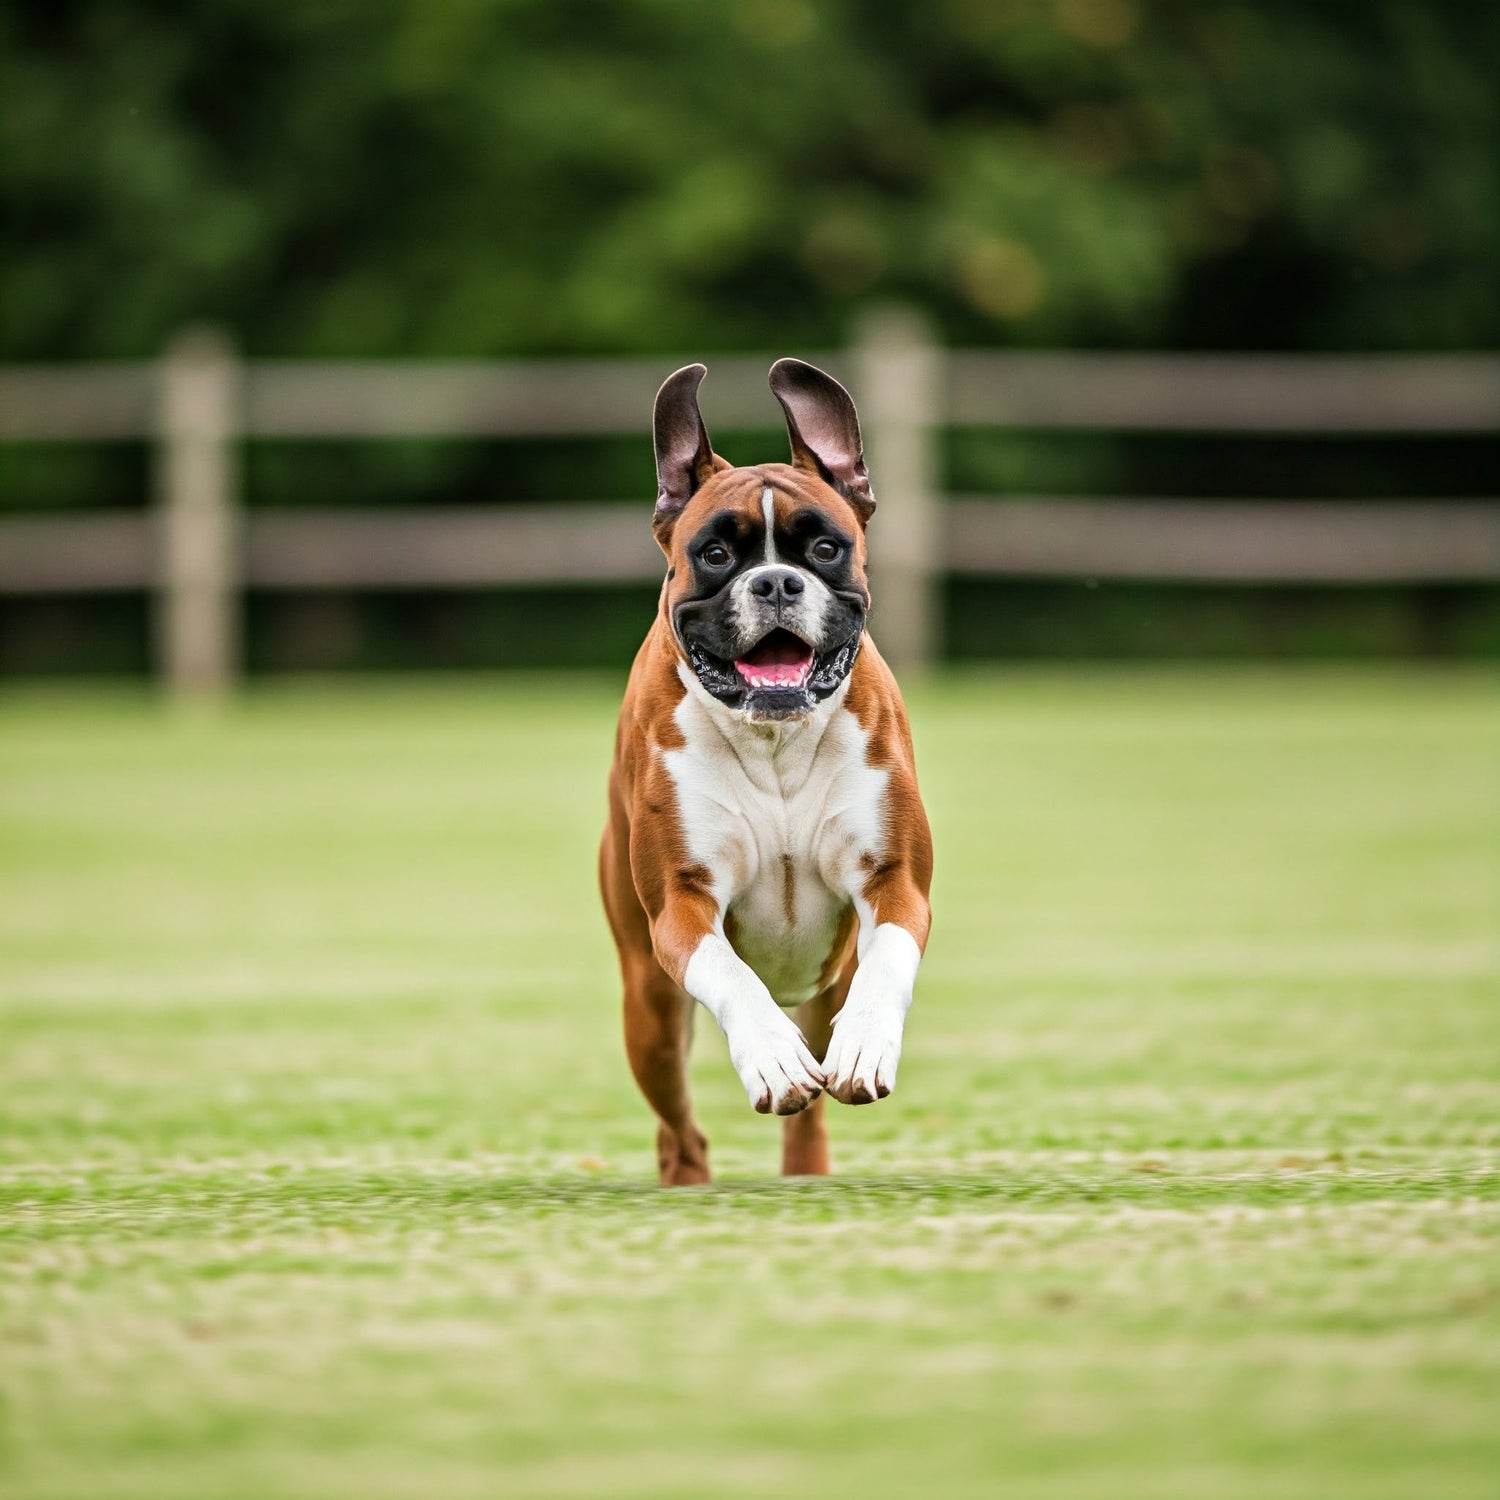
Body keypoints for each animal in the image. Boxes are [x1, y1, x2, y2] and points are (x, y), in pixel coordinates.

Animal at [594, 354, 924, 1182]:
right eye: (715, 554)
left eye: (824, 548)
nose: (775, 582)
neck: (776, 744)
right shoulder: (682, 912)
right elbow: (733, 979)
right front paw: (772, 1058)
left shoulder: (895, 886)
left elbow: (888, 967)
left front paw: (866, 1046)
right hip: (649, 1012)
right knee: (679, 1130)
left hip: (821, 981)